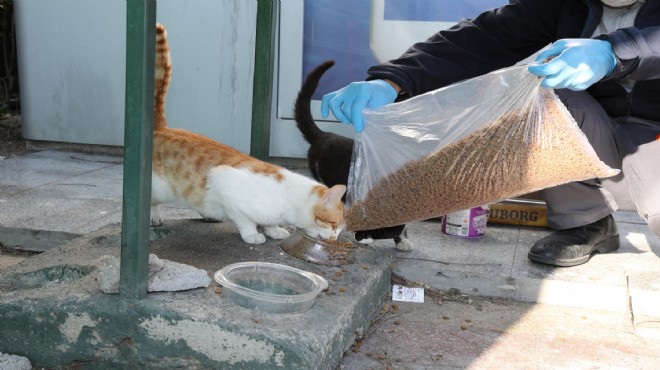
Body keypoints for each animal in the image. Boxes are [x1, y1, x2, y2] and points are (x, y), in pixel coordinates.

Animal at [150, 22, 346, 243]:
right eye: (334, 224)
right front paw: (253, 235)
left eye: (340, 228)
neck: (289, 200)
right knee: (153, 201)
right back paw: (154, 216)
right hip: (160, 189)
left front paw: (274, 229)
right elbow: (245, 220)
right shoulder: (223, 183)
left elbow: (269, 222)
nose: (334, 238)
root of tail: (162, 127)